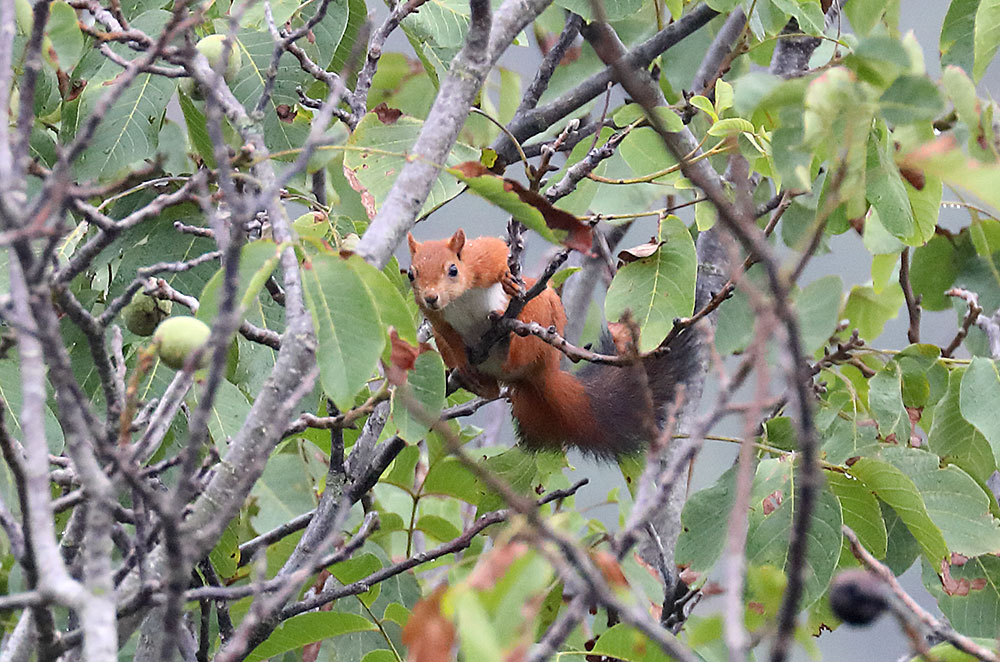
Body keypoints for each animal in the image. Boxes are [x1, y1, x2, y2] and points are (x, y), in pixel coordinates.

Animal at [406, 230, 688, 456]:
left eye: (453, 269)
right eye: (411, 274)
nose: (431, 297)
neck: (458, 298)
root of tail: (540, 374)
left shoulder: (480, 257)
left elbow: (498, 252)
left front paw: (507, 278)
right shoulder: (438, 322)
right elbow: (450, 336)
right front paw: (464, 365)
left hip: (538, 312)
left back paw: (507, 338)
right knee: (492, 391)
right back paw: (471, 378)